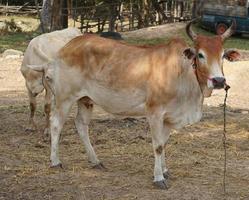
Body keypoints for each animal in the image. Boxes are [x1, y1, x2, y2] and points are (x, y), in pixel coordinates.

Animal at [26, 20, 239, 189]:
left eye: (222, 55)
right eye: (200, 55)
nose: (219, 81)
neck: (183, 74)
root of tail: (63, 50)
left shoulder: (168, 118)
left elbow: (164, 143)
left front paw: (165, 170)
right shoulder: (154, 113)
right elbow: (157, 146)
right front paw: (158, 178)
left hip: (86, 100)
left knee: (81, 125)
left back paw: (95, 161)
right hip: (65, 97)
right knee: (56, 124)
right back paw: (55, 161)